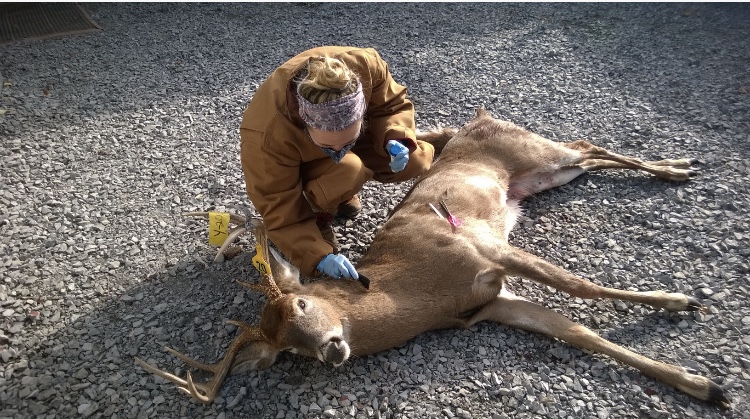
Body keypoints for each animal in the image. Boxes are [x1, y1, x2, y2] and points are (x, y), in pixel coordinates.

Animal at [134, 108, 728, 410]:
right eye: (287, 352)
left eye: (302, 304)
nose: (330, 351)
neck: (421, 293)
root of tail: (478, 117)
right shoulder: (490, 305)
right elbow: (577, 333)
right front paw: (701, 385)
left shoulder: (485, 248)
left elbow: (582, 288)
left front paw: (680, 300)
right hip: (546, 176)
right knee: (589, 154)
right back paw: (675, 168)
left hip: (535, 152)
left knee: (588, 143)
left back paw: (678, 168)